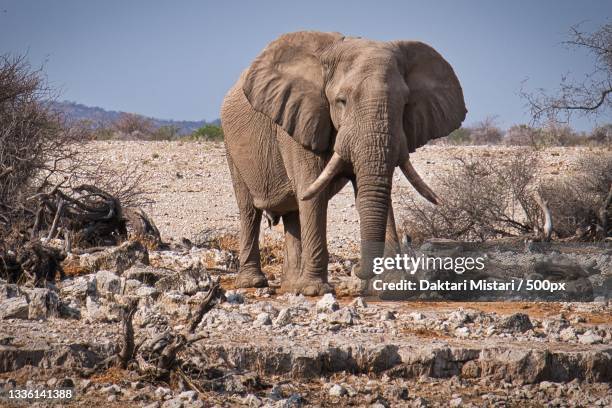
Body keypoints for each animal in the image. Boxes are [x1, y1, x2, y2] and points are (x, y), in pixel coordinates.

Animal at [222, 30, 466, 294]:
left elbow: (374, 193)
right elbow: (313, 193)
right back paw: (253, 283)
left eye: (404, 105)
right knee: (250, 210)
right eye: (341, 101)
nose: (356, 269)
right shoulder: (301, 120)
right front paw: (315, 291)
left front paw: (392, 288)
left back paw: (290, 286)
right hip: (231, 146)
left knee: (293, 213)